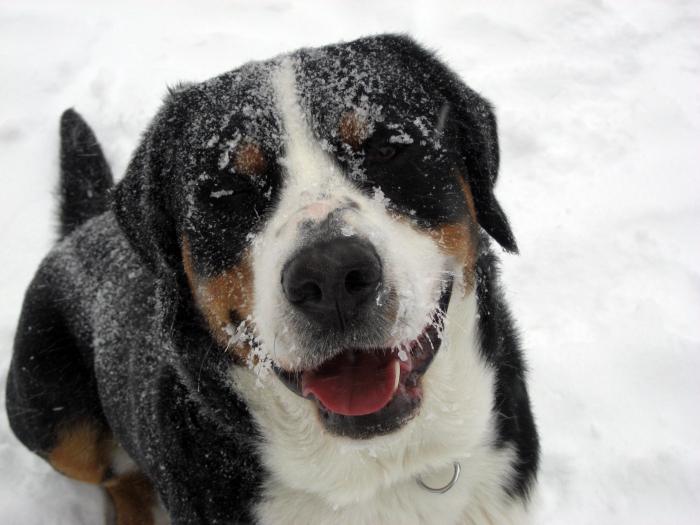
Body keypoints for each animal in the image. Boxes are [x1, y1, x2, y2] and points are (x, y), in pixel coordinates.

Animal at [5, 34, 540, 520]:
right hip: (50, 416)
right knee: (114, 475)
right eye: (227, 191)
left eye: (388, 149)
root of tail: (81, 228)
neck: (379, 470)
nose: (331, 275)